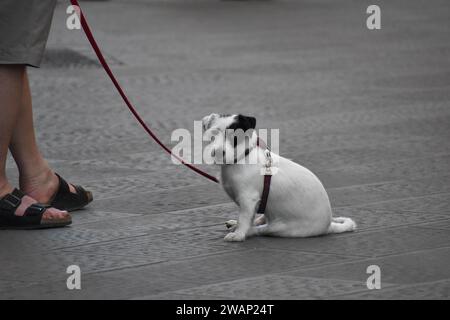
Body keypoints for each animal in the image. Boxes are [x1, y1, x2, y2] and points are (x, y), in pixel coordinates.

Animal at [202, 114, 356, 241]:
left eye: (235, 136)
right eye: (212, 136)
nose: (216, 153)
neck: (241, 158)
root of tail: (328, 226)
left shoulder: (248, 200)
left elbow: (244, 220)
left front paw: (239, 234)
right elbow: (247, 218)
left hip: (280, 228)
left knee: (258, 230)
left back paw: (248, 230)